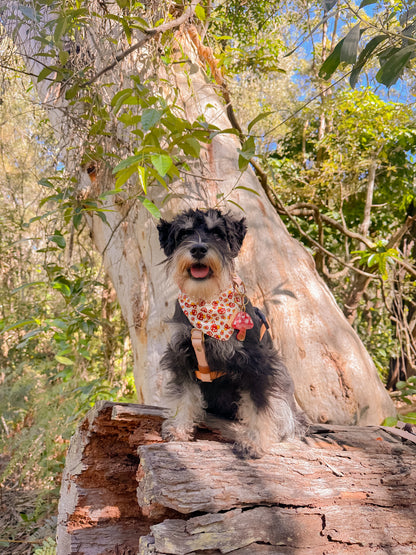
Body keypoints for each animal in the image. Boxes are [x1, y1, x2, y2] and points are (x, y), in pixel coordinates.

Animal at [156, 208, 306, 460]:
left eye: (217, 232)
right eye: (184, 233)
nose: (198, 249)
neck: (206, 302)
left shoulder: (257, 364)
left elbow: (259, 406)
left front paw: (254, 443)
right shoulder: (181, 355)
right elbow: (185, 396)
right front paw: (178, 428)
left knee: (285, 413)